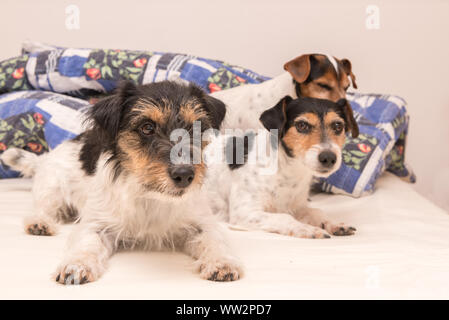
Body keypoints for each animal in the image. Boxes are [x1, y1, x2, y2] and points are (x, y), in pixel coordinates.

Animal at [1, 81, 243, 284]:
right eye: (147, 127)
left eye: (195, 127)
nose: (184, 174)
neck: (150, 195)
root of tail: (43, 159)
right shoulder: (96, 224)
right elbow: (86, 244)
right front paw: (77, 265)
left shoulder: (201, 223)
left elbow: (214, 240)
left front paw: (222, 262)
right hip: (52, 189)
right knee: (41, 208)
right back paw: (39, 223)